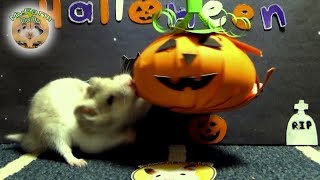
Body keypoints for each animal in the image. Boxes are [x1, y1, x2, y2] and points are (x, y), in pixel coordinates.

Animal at [5, 73, 151, 167]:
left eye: (111, 78)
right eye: (110, 100)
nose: (132, 82)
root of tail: (29, 134)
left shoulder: (133, 112)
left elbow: (140, 107)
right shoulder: (95, 141)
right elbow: (112, 139)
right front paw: (132, 134)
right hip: (53, 132)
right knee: (63, 149)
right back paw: (78, 162)